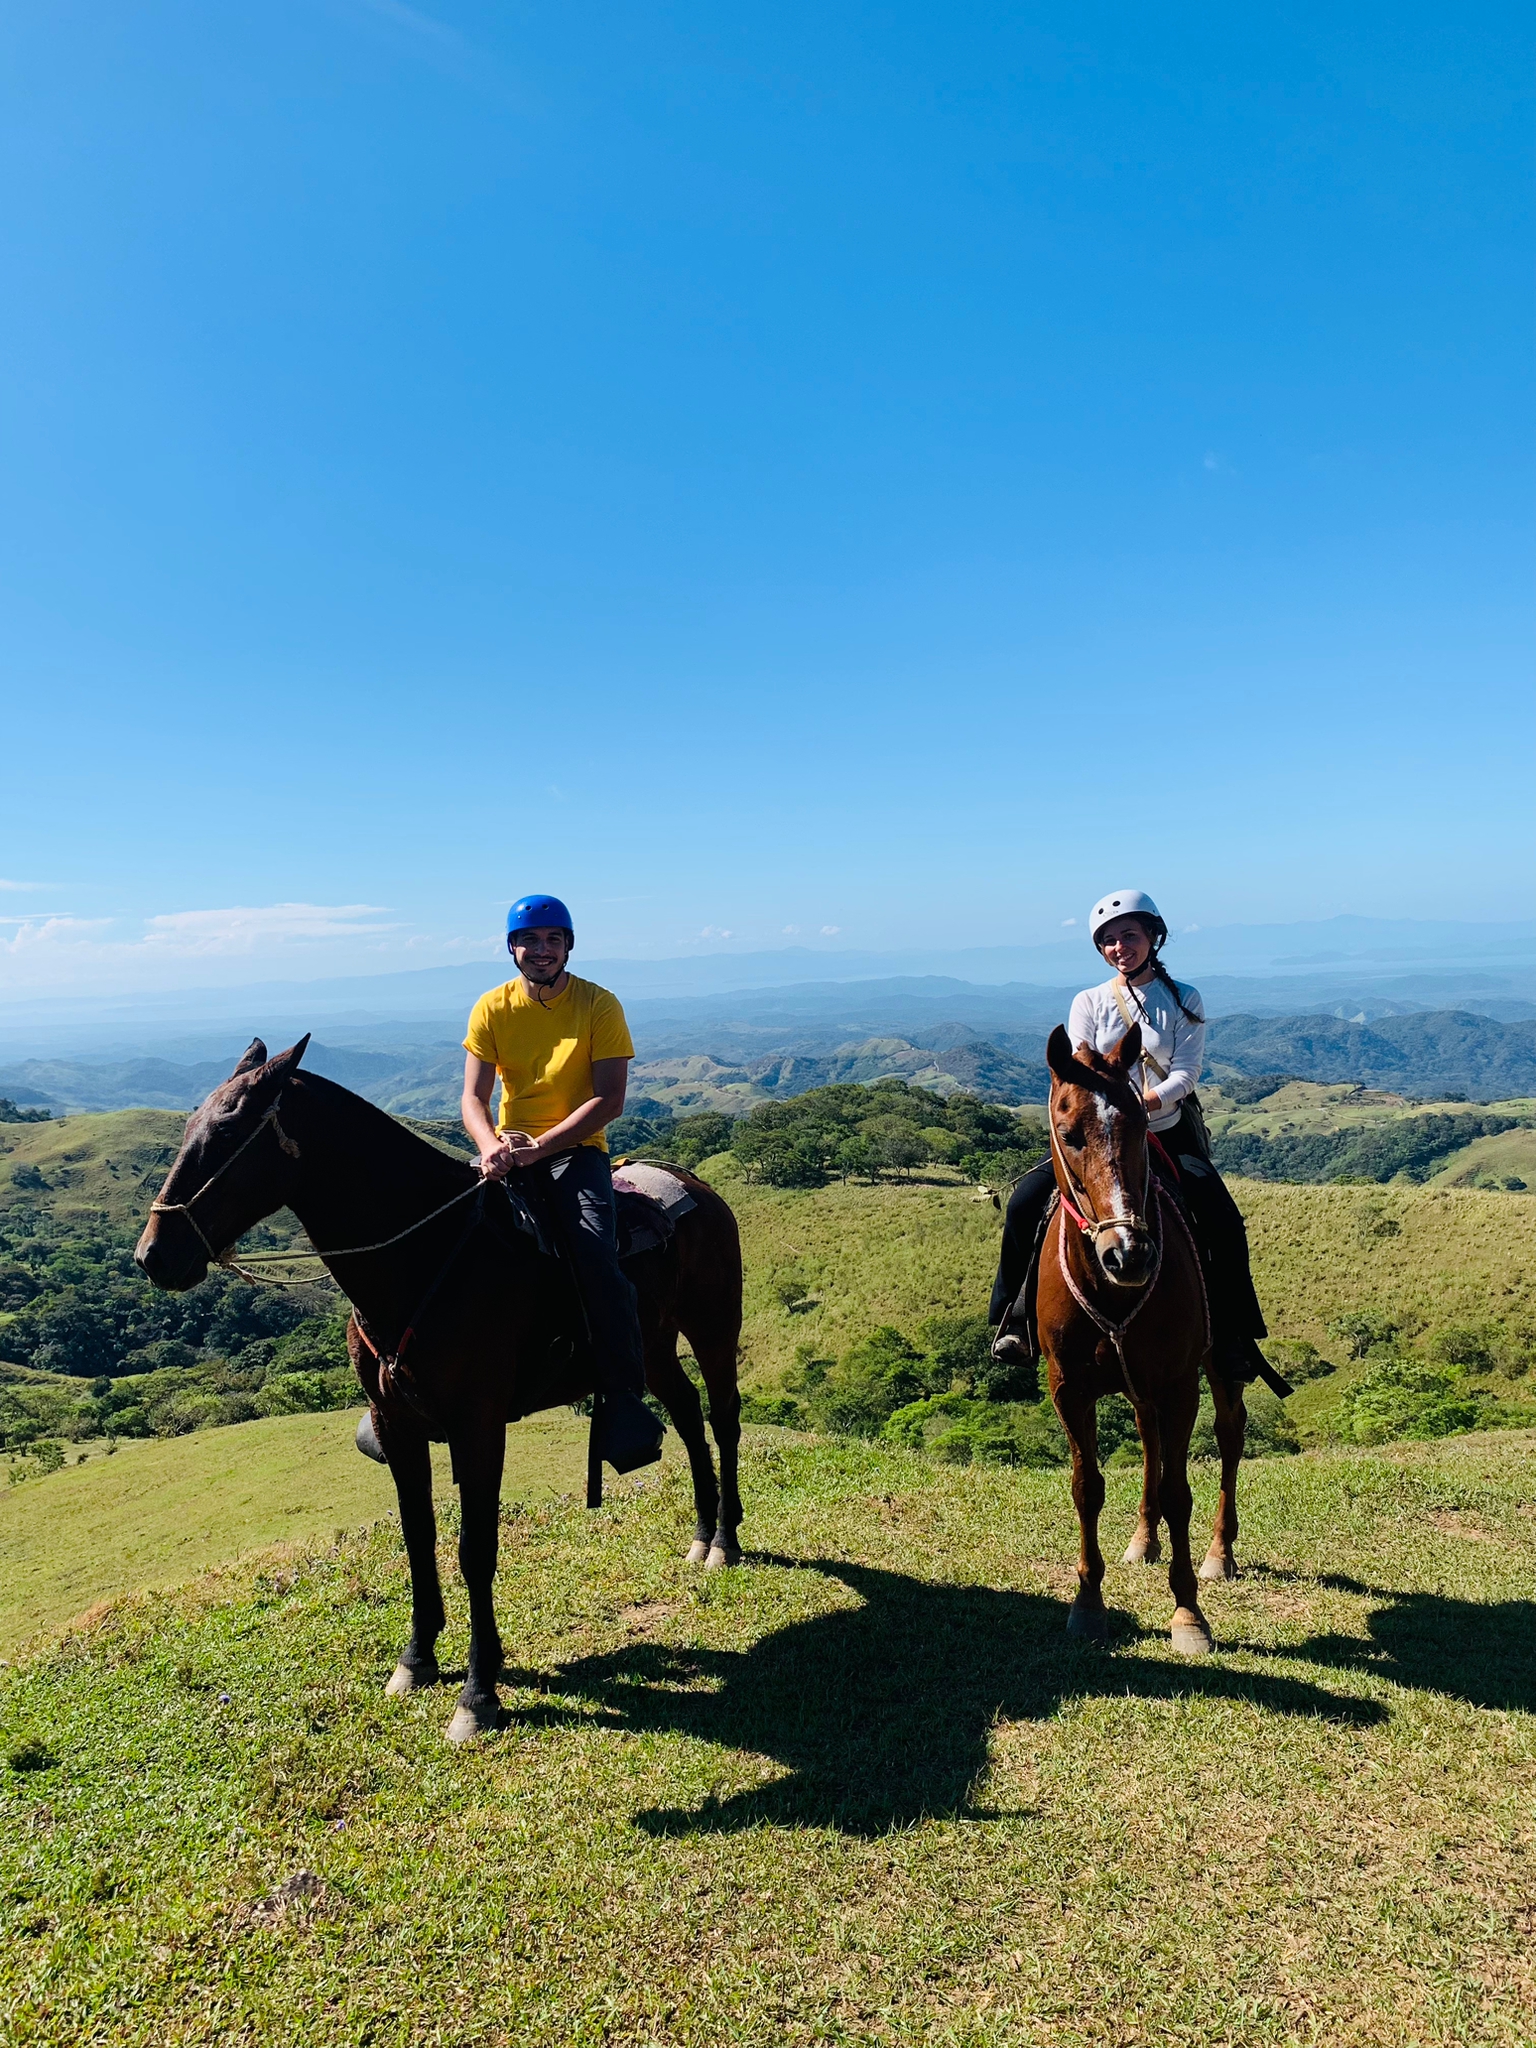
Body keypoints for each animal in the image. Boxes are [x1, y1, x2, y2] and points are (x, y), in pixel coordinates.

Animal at [134, 1035, 745, 1743]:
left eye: (229, 1132)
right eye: (188, 1128)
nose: (154, 1255)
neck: (423, 1256)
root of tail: (696, 1185)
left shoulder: (478, 1426)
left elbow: (475, 1549)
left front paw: (478, 1693)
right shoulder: (396, 1425)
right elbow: (417, 1536)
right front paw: (417, 1658)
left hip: (712, 1328)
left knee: (722, 1419)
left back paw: (726, 1542)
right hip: (651, 1346)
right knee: (688, 1414)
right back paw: (701, 1534)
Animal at [1037, 1022, 1249, 1655]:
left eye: (1137, 1125)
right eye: (1068, 1134)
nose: (1128, 1254)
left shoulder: (1180, 1384)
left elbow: (1180, 1491)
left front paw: (1188, 1614)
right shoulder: (1069, 1389)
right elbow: (1087, 1487)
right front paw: (1088, 1603)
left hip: (1217, 1368)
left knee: (1230, 1437)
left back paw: (1219, 1553)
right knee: (1149, 1438)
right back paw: (1143, 1539)